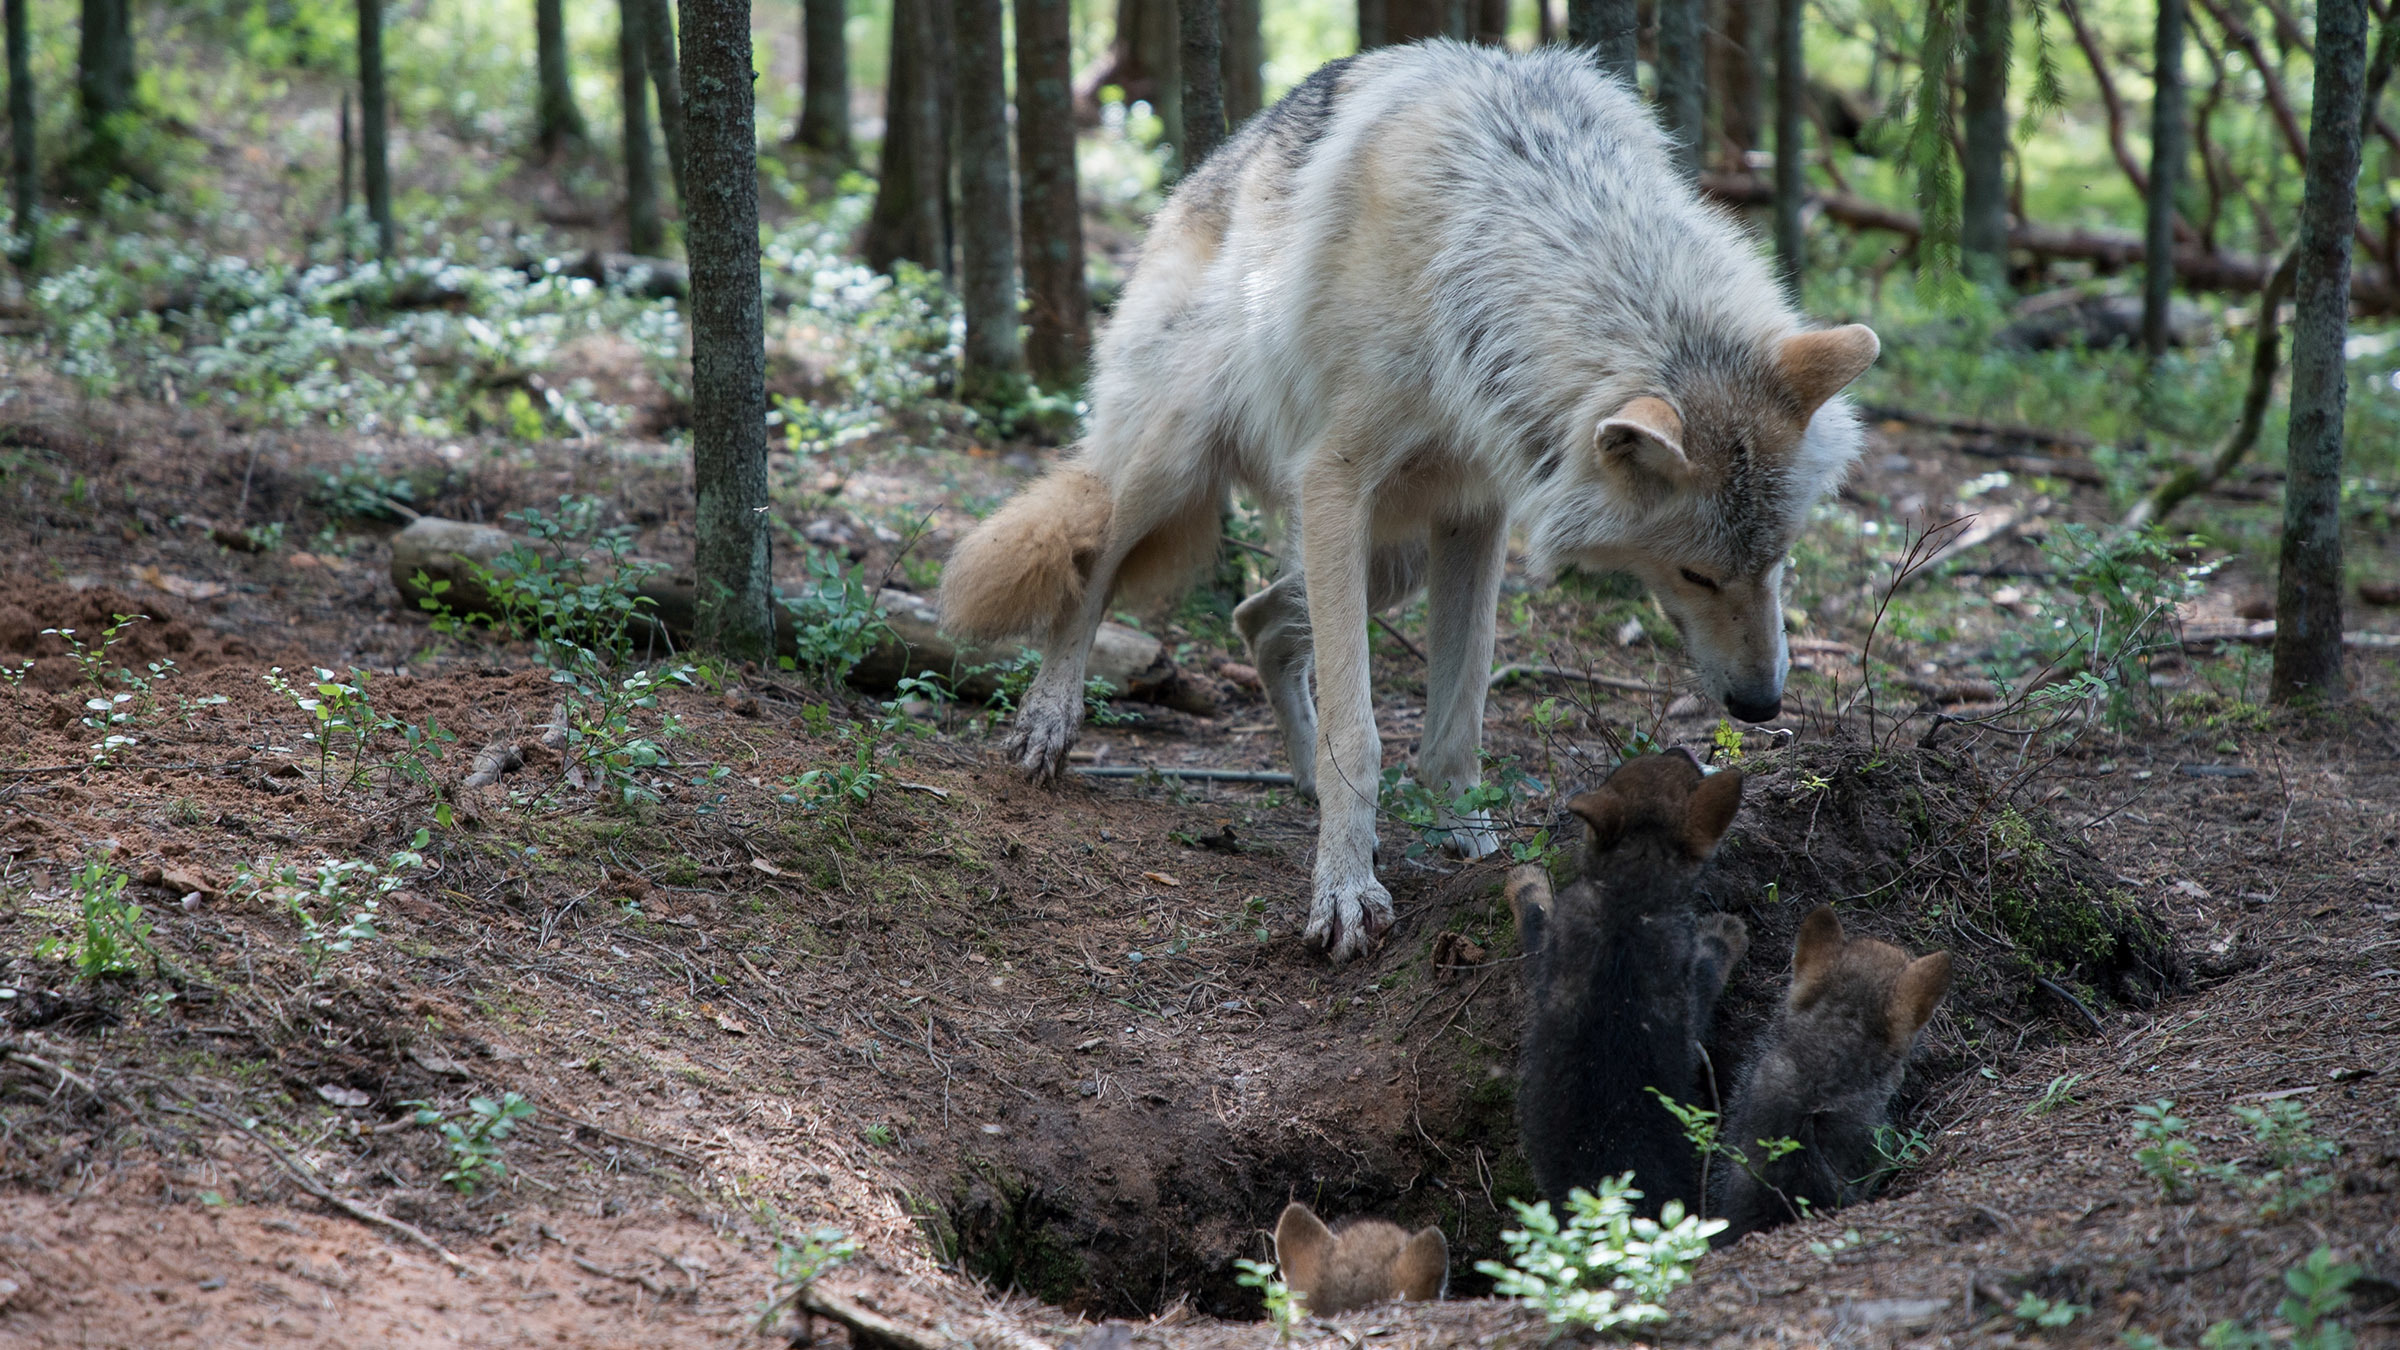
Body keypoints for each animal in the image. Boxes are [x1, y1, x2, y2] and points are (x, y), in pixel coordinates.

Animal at [937, 41, 1878, 962]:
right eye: (1696, 574)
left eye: (1777, 560)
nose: (1762, 705)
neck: (1485, 242)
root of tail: (1202, 174)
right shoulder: (1334, 478)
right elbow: (1360, 729)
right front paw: (1346, 893)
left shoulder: (1476, 513)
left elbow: (1457, 719)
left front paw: (1471, 838)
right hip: (1180, 467)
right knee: (1096, 563)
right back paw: (1049, 720)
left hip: (1393, 561)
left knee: (1257, 620)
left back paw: (1305, 780)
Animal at [1510, 752, 1749, 1217]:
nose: (1681, 748)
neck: (1629, 895)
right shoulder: (1690, 987)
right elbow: (1712, 960)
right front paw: (1727, 931)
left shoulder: (1551, 946)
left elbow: (1536, 913)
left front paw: (1524, 882)